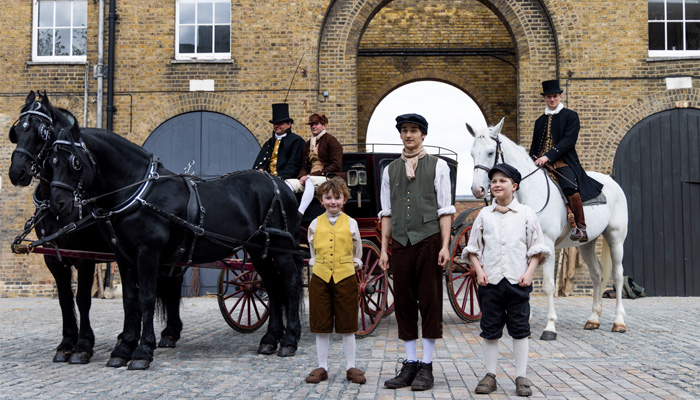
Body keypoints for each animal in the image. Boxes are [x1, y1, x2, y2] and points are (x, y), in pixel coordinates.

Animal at [8, 92, 183, 364]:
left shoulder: (85, 257)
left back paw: (170, 333)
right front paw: (66, 344)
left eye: (42, 132)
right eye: (16, 130)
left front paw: (82, 346)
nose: (17, 172)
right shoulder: (54, 259)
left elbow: (82, 299)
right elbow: (65, 300)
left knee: (174, 283)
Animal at [45, 121, 304, 368]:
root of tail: (281, 186)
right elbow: (130, 301)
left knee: (290, 284)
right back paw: (270, 339)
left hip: (280, 248)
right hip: (259, 251)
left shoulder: (147, 253)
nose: (57, 204)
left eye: (75, 162)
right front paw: (123, 349)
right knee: (272, 286)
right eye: (52, 161)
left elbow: (146, 297)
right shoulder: (124, 257)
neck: (138, 192)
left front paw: (142, 351)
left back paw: (289, 340)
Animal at [468, 119, 628, 340]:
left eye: (491, 152)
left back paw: (619, 321)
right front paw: (525, 323)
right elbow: (524, 282)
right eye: (472, 153)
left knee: (618, 275)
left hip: (615, 238)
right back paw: (593, 319)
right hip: (587, 243)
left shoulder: (548, 245)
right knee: (596, 275)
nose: (478, 190)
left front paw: (550, 327)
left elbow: (548, 284)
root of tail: (612, 182)